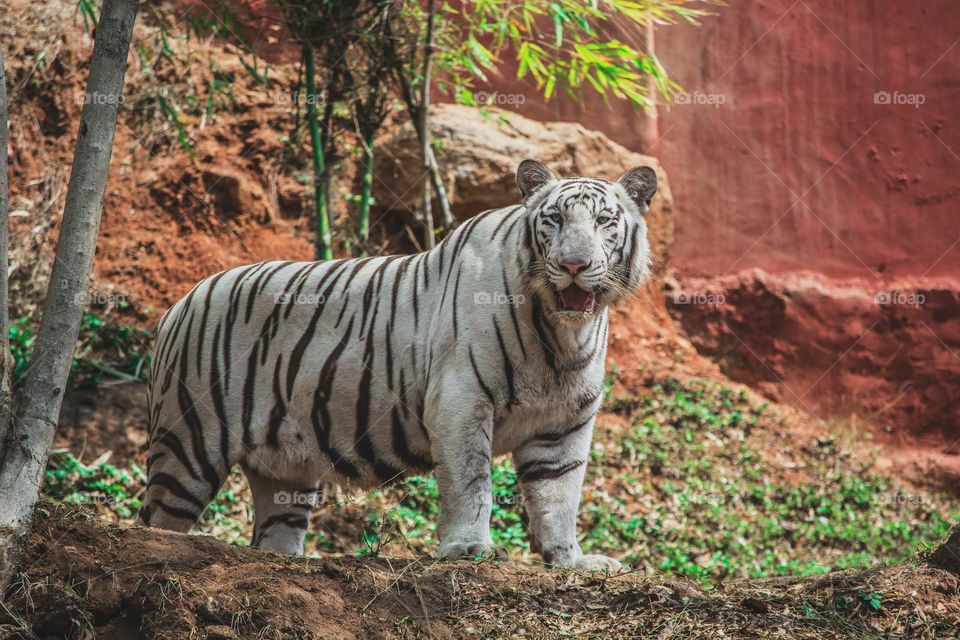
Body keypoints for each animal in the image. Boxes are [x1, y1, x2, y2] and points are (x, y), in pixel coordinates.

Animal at [139, 159, 657, 571]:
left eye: (605, 221)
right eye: (553, 220)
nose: (574, 265)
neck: (563, 332)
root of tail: (180, 302)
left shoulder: (564, 424)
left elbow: (559, 495)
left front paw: (570, 560)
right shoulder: (461, 400)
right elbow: (471, 481)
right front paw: (468, 549)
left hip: (285, 468)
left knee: (275, 531)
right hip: (188, 443)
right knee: (154, 519)